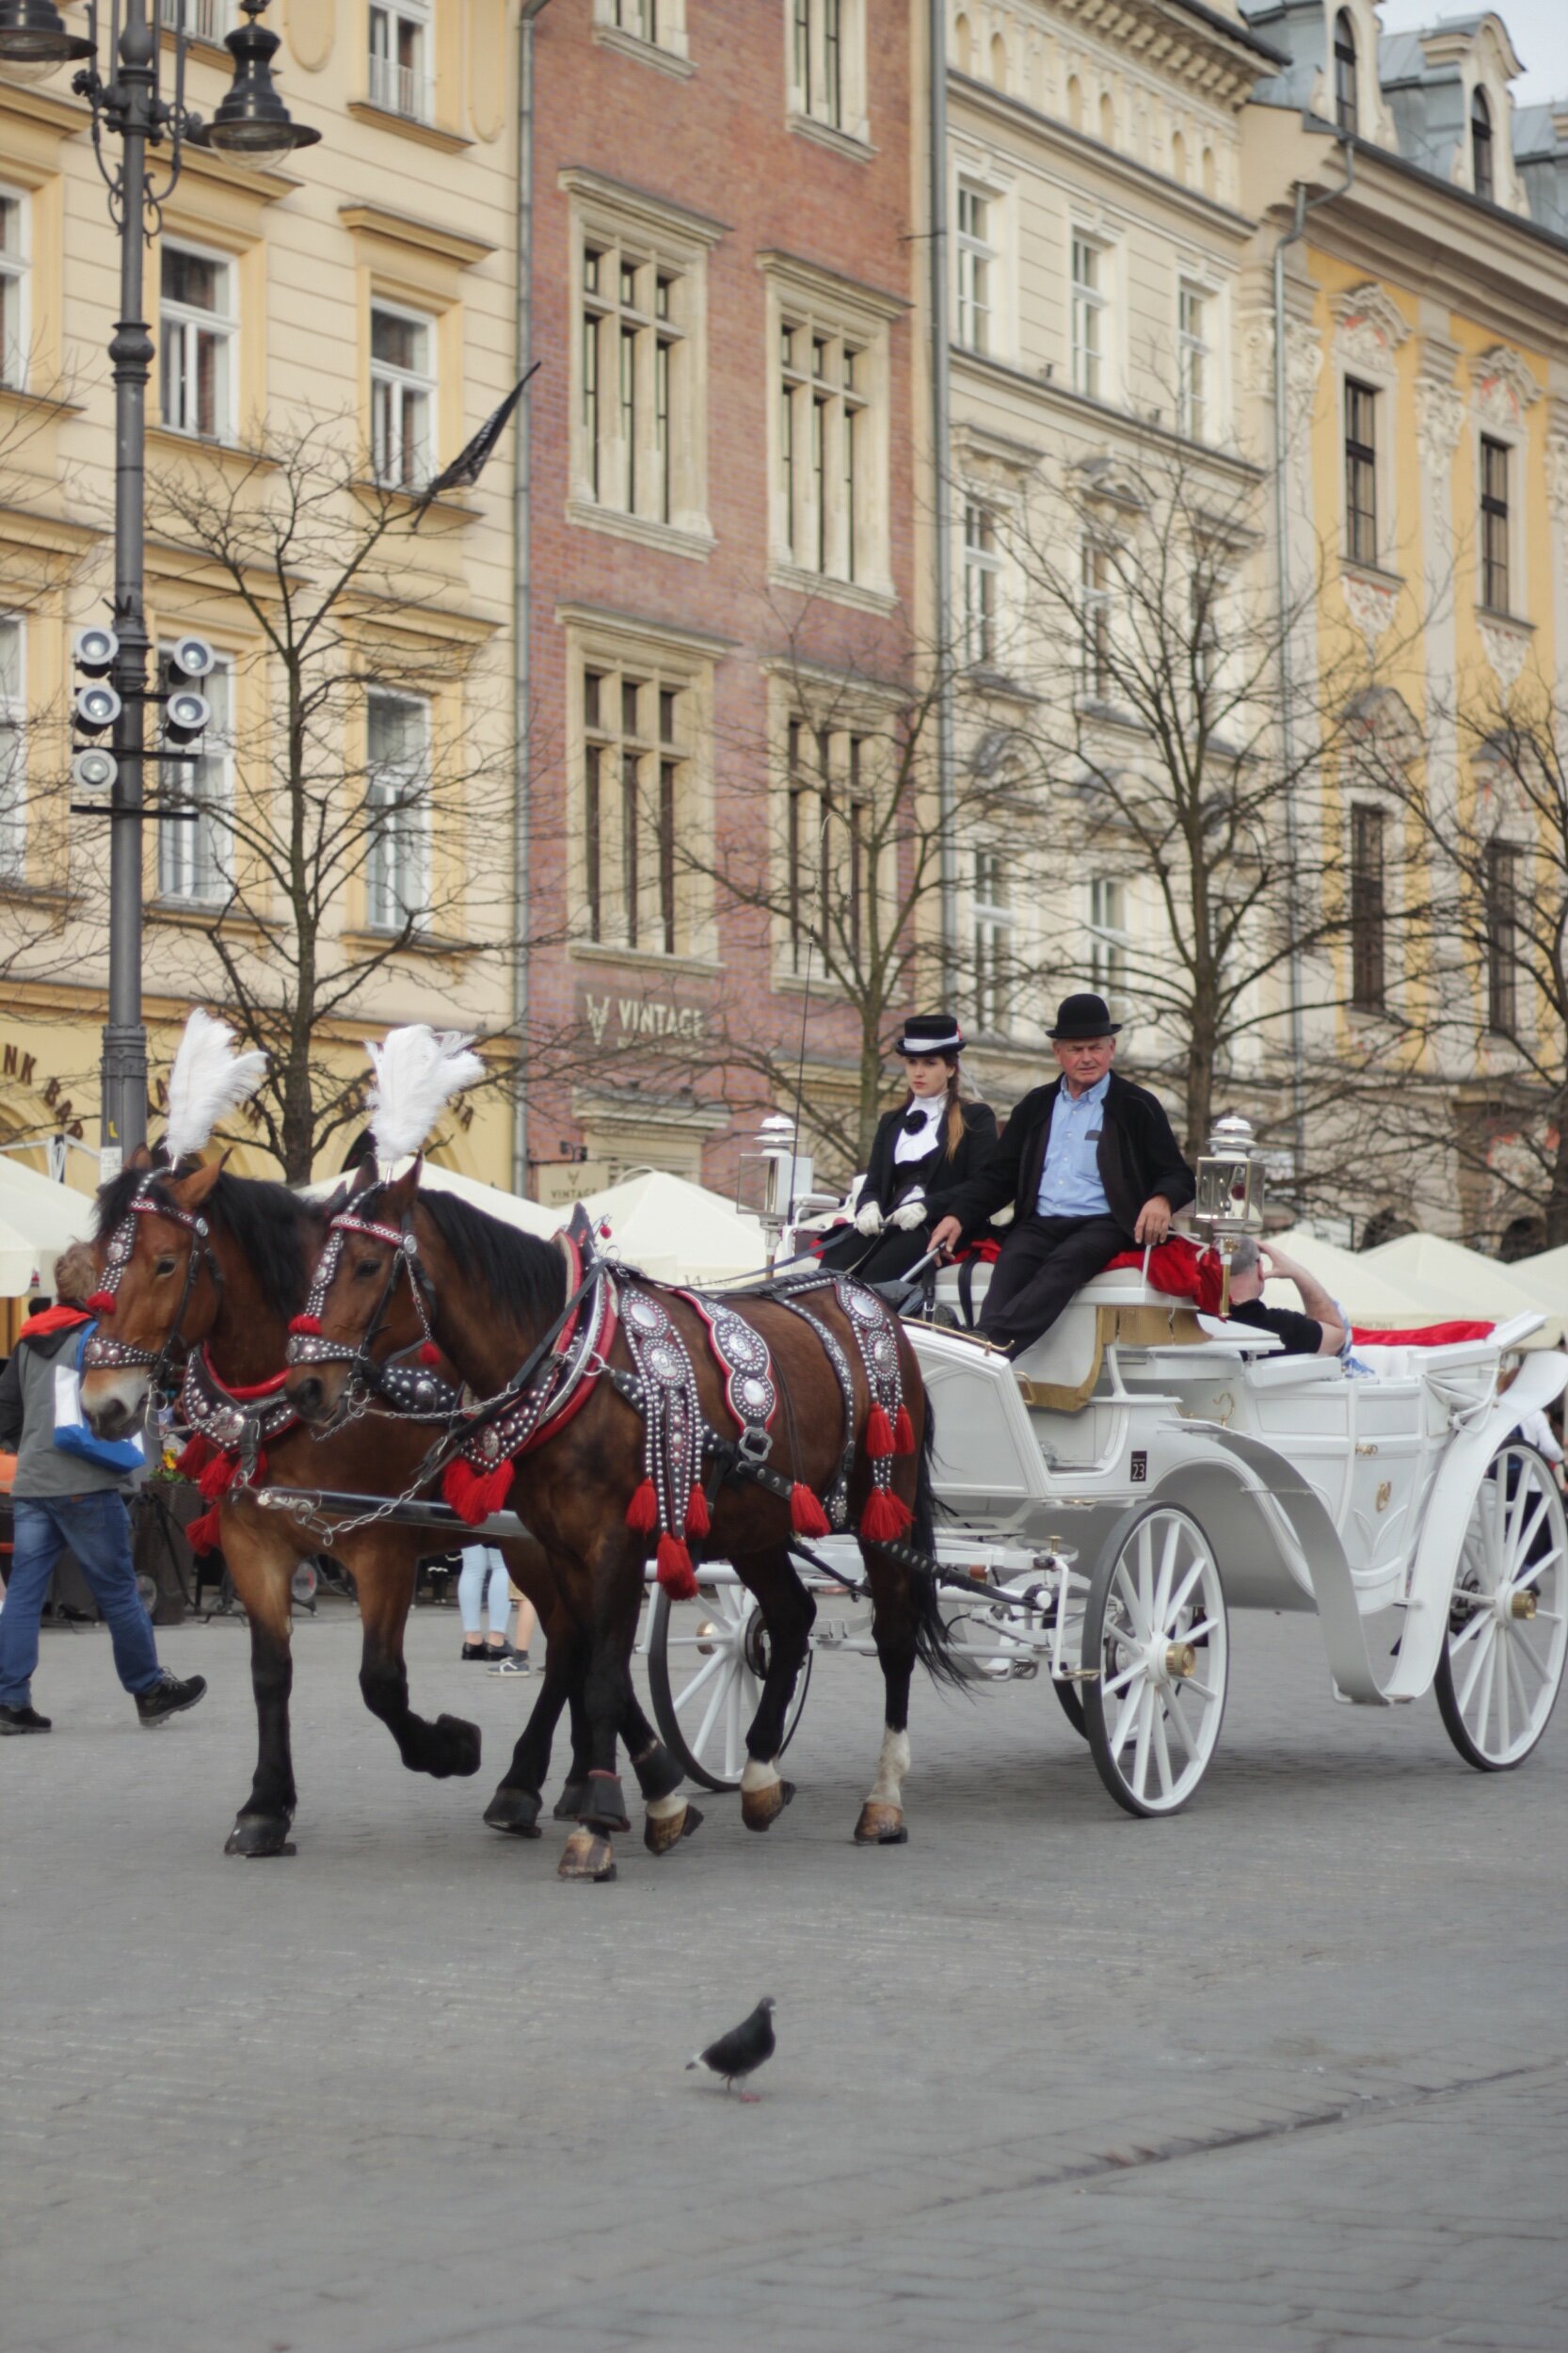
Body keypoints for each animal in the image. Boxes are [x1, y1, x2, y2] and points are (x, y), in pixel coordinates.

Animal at [79, 1153, 696, 1854]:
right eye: (93, 1258)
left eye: (164, 1262)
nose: (102, 1406)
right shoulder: (252, 1543)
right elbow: (270, 1671)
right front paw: (265, 1806)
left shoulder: (381, 1548)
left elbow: (380, 1682)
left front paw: (450, 1747)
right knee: (582, 1641)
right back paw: (577, 1781)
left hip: (542, 1540)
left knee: (577, 1642)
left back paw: (544, 1781)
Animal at [280, 1158, 951, 1873]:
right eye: (315, 1261)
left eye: (368, 1266)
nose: (305, 1388)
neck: (580, 1365)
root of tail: (874, 1300)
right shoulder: (562, 1550)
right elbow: (596, 1663)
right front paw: (654, 1799)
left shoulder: (615, 1546)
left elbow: (601, 1675)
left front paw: (596, 1824)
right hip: (757, 1523)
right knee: (793, 1618)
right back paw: (760, 1777)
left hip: (884, 1503)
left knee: (894, 1637)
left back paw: (883, 1799)